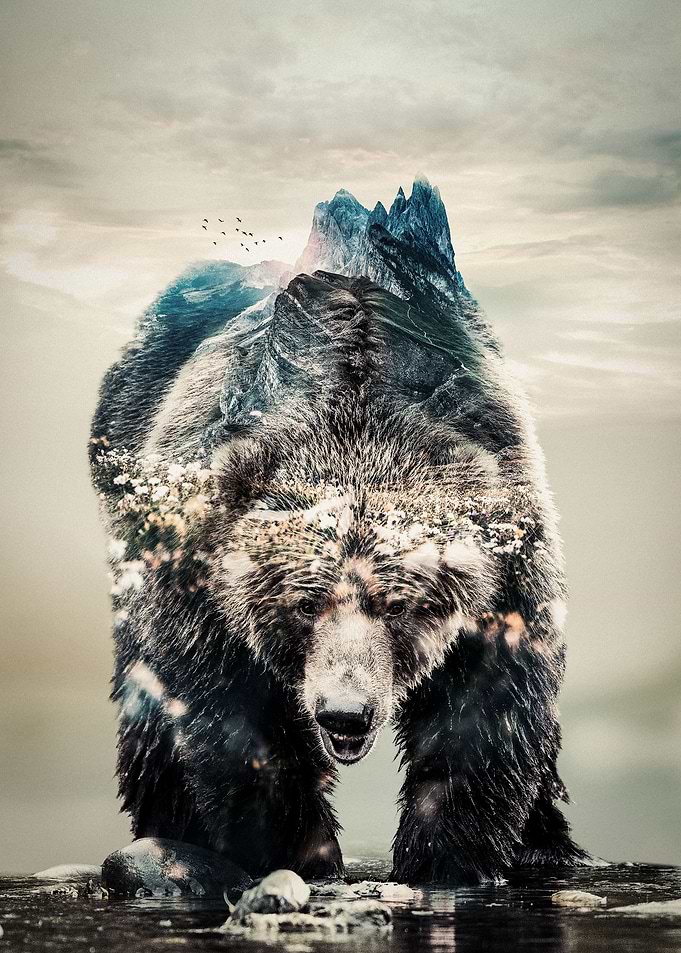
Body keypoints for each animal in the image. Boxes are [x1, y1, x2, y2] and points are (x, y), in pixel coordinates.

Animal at [90, 220, 589, 886]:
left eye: (400, 606)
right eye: (305, 604)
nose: (344, 714)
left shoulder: (505, 570)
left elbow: (485, 719)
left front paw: (449, 855)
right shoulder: (201, 581)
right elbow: (232, 723)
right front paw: (302, 850)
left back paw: (547, 844)